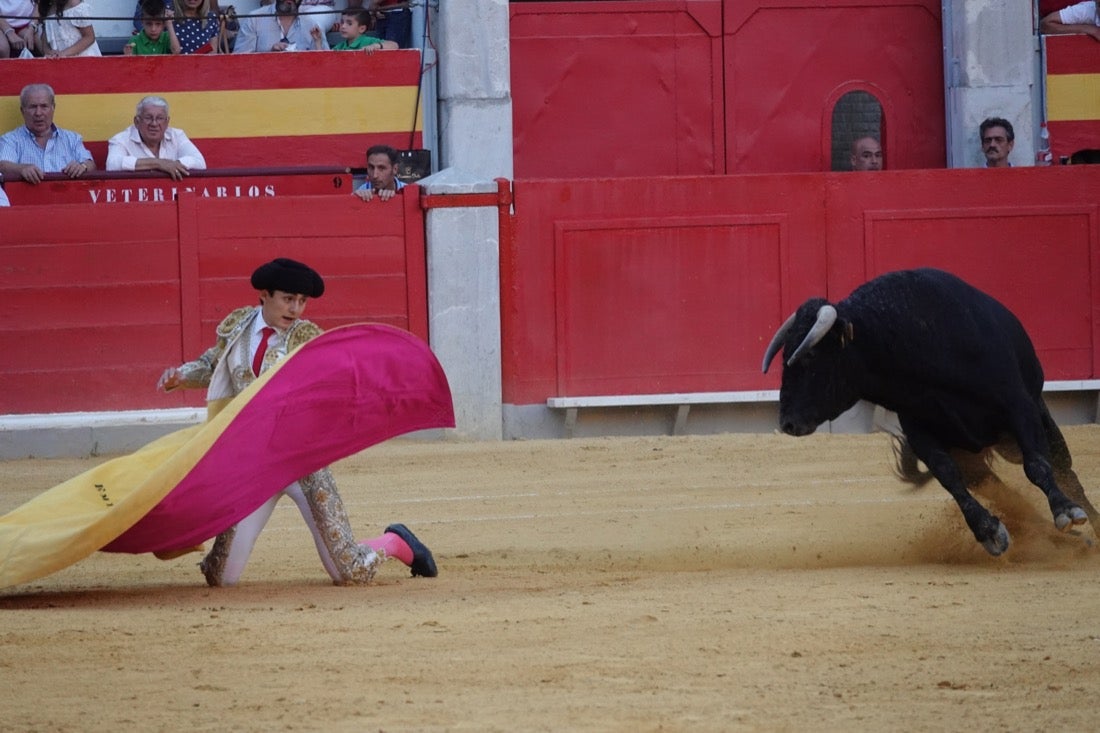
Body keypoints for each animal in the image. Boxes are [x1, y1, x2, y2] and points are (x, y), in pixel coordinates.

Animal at [761, 265, 1095, 550]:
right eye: (784, 355)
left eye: (808, 357)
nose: (787, 422)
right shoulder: (918, 429)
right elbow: (949, 477)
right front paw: (989, 531)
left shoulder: (1019, 406)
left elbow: (1037, 465)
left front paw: (1067, 512)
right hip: (975, 457)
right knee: (1000, 489)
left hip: (1032, 422)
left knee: (1064, 470)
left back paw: (1085, 525)